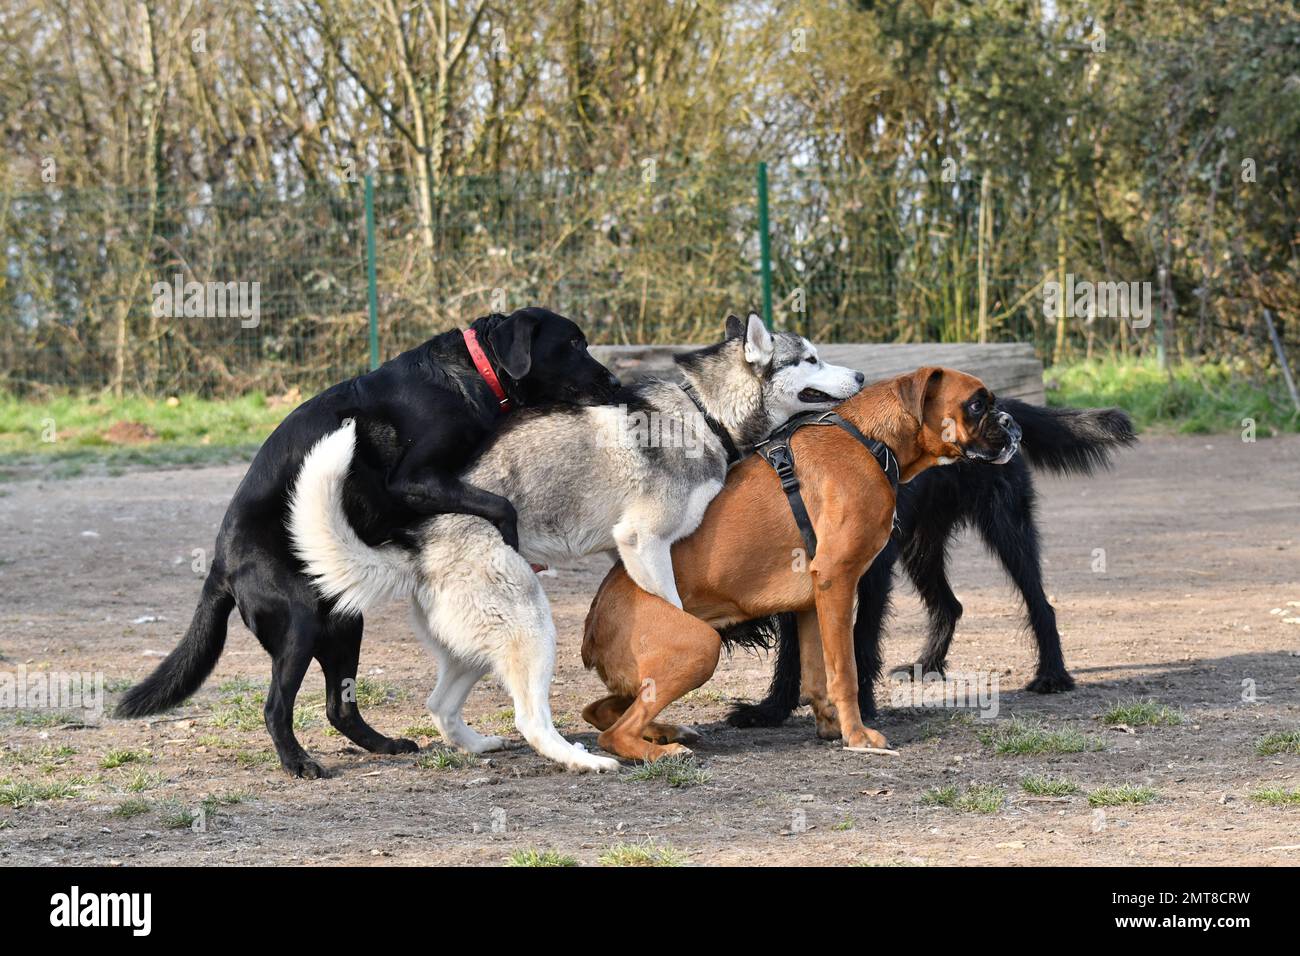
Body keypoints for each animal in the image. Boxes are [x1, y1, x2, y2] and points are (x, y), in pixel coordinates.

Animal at [116, 306, 618, 780]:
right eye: (574, 343)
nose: (615, 381)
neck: (472, 371)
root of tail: (219, 566)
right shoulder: (414, 480)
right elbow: (502, 506)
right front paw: (512, 540)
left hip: (344, 622)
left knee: (339, 706)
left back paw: (385, 745)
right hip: (299, 624)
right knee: (276, 706)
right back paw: (299, 762)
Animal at [289, 314, 868, 770]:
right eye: (811, 359)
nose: (862, 374)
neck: (703, 412)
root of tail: (417, 547)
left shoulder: (625, 550)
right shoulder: (644, 543)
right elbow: (671, 609)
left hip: (478, 648)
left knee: (440, 706)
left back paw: (480, 745)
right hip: (533, 627)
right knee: (530, 719)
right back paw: (585, 760)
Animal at [577, 366, 1013, 764]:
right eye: (977, 404)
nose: (1011, 422)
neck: (868, 440)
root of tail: (592, 625)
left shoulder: (811, 603)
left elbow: (818, 675)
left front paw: (832, 728)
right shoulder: (837, 582)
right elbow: (845, 672)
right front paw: (858, 736)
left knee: (600, 709)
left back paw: (667, 730)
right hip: (702, 646)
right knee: (614, 733)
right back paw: (664, 749)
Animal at [728, 395, 1133, 723]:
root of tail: (994, 401)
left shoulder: (874, 576)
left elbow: (862, 639)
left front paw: (862, 708)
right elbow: (792, 652)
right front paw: (771, 710)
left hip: (1008, 530)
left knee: (1040, 603)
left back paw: (1052, 675)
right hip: (921, 547)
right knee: (949, 605)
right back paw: (927, 665)